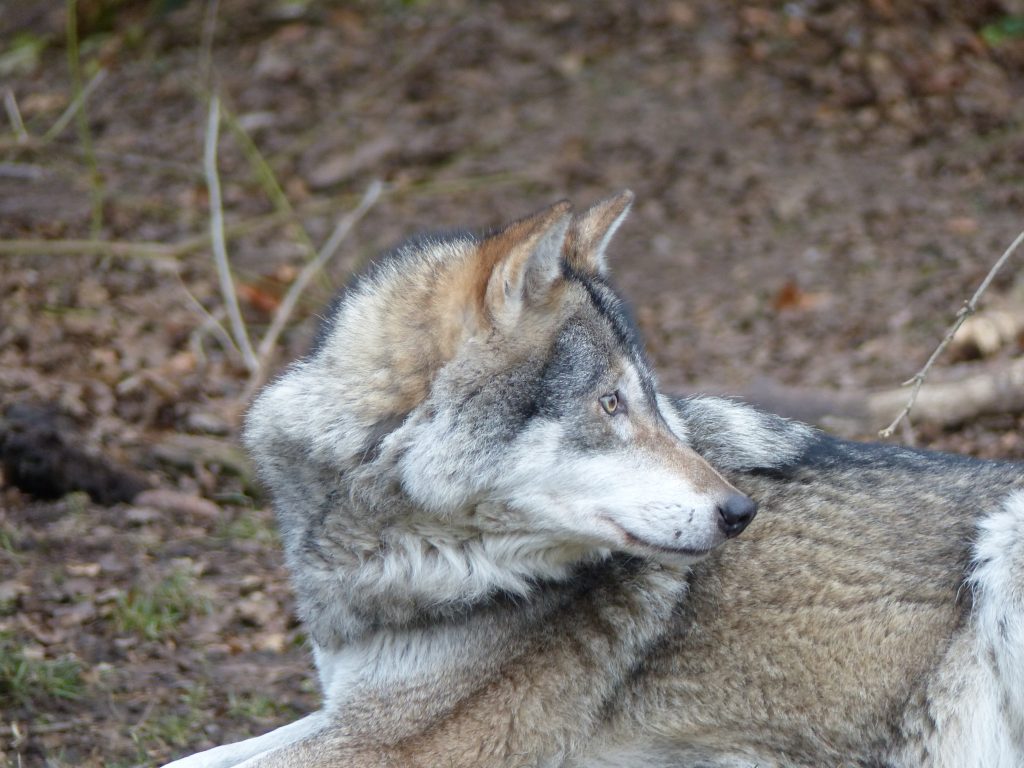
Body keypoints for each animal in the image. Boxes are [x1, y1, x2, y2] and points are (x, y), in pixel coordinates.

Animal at [165, 193, 1024, 768]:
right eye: (611, 402)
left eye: (650, 398)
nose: (740, 510)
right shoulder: (358, 711)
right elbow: (194, 758)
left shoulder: (401, 740)